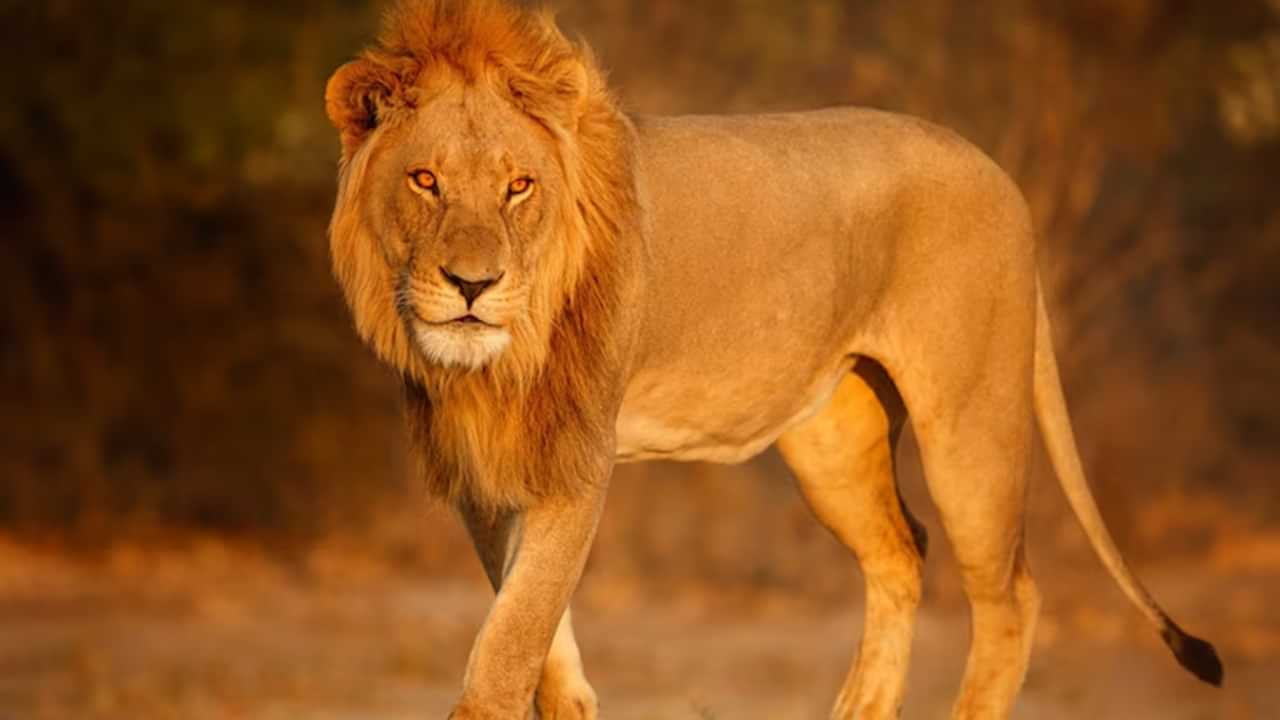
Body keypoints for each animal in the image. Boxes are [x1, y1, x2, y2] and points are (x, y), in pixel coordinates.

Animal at [323, 1, 1223, 718]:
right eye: (425, 180)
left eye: (518, 186)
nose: (474, 285)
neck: (492, 369)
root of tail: (998, 172)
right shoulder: (483, 469)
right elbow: (538, 642)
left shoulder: (576, 458)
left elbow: (508, 648)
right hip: (833, 439)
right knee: (901, 551)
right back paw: (859, 710)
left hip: (973, 421)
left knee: (1010, 597)